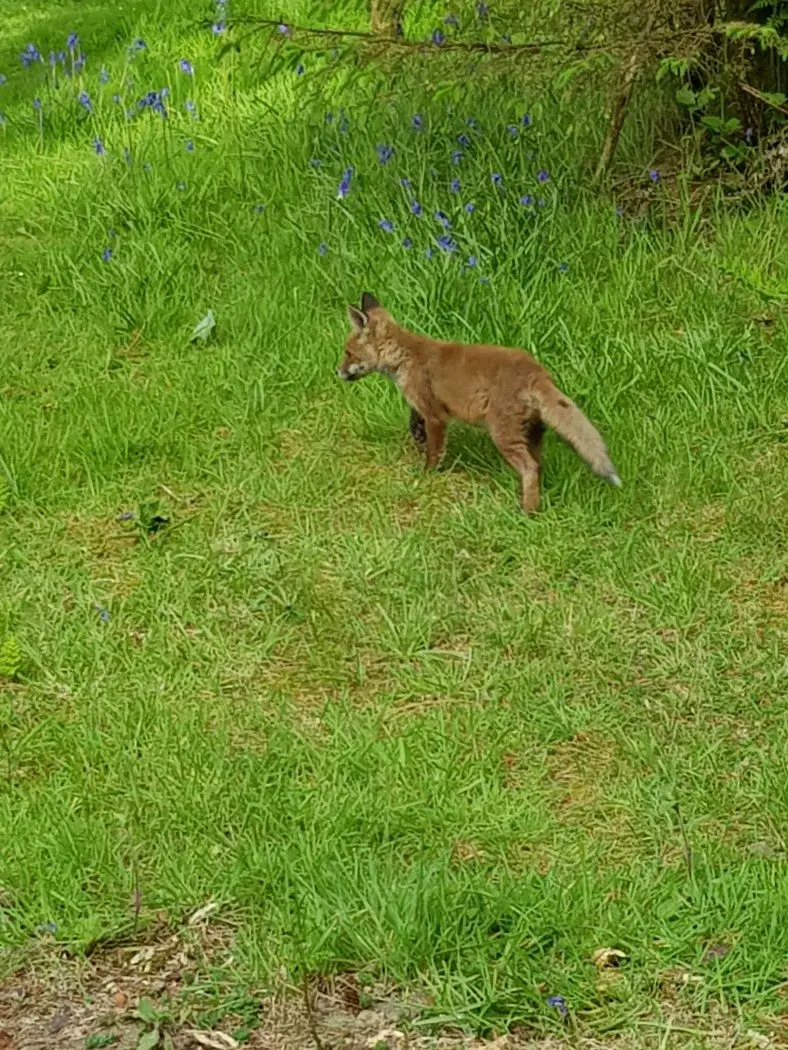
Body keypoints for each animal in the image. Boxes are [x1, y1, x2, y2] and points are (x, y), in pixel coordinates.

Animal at [340, 294, 621, 514]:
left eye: (348, 354)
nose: (337, 372)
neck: (404, 357)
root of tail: (537, 372)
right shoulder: (421, 410)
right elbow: (416, 430)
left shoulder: (435, 415)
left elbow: (434, 451)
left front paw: (427, 476)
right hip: (532, 434)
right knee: (538, 466)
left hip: (503, 434)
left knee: (530, 468)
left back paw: (526, 513)